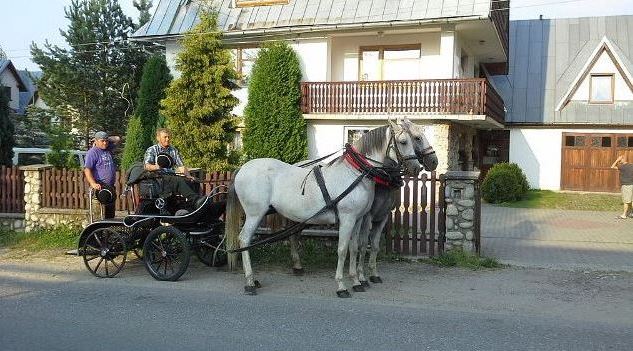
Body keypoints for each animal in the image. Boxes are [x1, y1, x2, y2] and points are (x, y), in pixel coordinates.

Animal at [225, 119, 428, 298]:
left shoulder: (358, 219)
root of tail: (242, 168)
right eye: (404, 141)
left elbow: (354, 248)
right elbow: (342, 249)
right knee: (244, 239)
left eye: (414, 140)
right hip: (254, 214)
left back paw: (256, 279)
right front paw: (341, 286)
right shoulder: (347, 219)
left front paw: (356, 282)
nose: (417, 168)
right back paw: (250, 282)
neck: (354, 173)